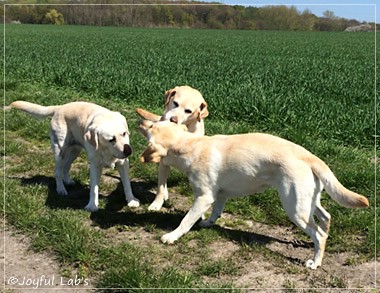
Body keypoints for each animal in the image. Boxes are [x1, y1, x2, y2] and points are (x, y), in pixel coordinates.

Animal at [8, 100, 140, 210]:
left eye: (124, 133)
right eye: (111, 139)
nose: (129, 151)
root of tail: (59, 107)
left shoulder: (123, 163)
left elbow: (127, 184)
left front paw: (131, 200)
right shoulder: (95, 165)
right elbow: (94, 188)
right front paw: (92, 205)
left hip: (75, 151)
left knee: (66, 166)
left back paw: (67, 181)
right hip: (60, 151)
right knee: (58, 171)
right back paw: (61, 189)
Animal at [140, 120, 368, 268]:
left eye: (151, 127)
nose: (141, 121)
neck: (191, 146)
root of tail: (310, 155)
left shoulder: (204, 197)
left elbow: (186, 220)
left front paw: (172, 236)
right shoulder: (220, 194)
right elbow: (216, 212)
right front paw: (208, 223)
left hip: (294, 208)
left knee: (319, 234)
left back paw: (316, 262)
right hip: (308, 201)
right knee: (326, 218)